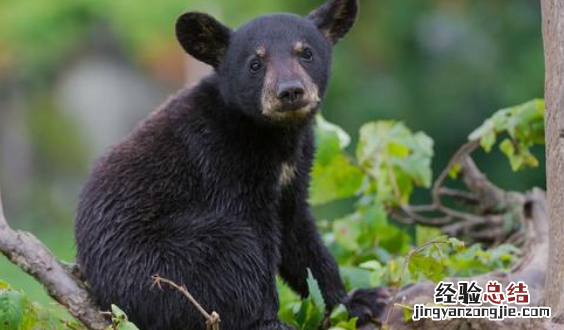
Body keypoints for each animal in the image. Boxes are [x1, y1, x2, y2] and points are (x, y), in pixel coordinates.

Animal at [74, 0, 384, 328]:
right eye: (255, 63)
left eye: (306, 52)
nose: (290, 91)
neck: (273, 136)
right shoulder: (221, 162)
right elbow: (255, 240)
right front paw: (267, 318)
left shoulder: (296, 170)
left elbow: (299, 234)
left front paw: (354, 301)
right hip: (158, 265)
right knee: (230, 248)